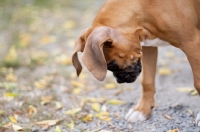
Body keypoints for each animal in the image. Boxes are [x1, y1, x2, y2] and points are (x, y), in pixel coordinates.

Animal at [71, 0, 200, 126]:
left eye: (112, 66)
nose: (119, 80)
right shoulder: (149, 47)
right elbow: (147, 82)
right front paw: (142, 110)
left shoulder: (192, 44)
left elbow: (198, 83)